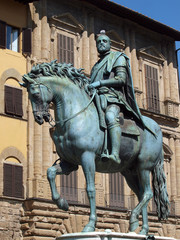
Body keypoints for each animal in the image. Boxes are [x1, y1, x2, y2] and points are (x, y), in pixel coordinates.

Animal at [21, 60, 169, 234]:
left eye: (35, 94)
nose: (39, 117)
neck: (77, 115)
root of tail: (157, 128)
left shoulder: (87, 157)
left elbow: (90, 190)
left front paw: (90, 224)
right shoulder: (69, 163)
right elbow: (50, 172)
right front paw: (62, 203)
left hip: (144, 166)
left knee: (147, 193)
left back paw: (134, 220)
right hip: (130, 172)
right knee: (141, 194)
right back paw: (140, 229)